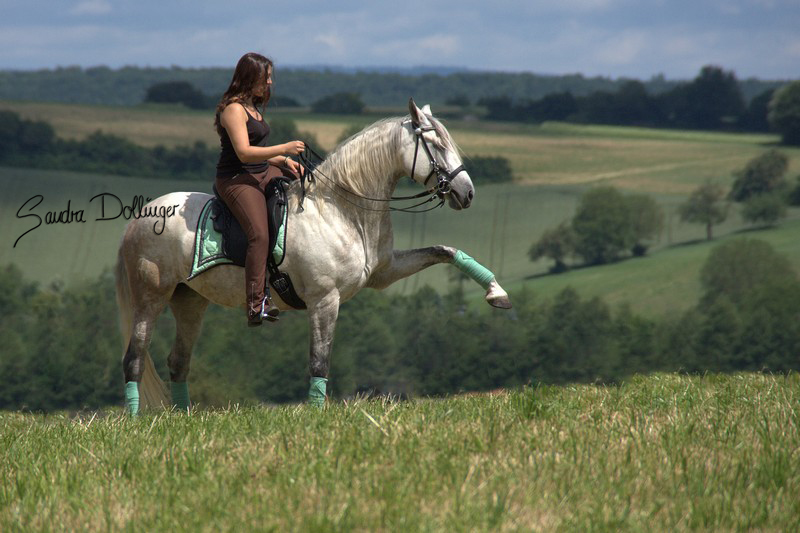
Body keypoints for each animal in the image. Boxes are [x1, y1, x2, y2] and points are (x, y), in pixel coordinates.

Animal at [114, 101, 512, 416]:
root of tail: (141, 217)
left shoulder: (384, 273)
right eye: (435, 144)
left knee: (178, 362)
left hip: (190, 302)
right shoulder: (324, 299)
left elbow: (447, 252)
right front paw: (317, 416)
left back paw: (182, 417)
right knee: (134, 359)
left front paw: (497, 293)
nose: (467, 192)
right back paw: (135, 423)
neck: (341, 210)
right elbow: (319, 359)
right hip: (151, 298)